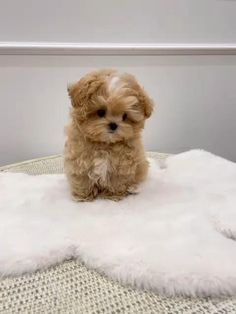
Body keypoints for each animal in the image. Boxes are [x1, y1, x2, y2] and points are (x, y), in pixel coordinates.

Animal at [63, 68, 154, 201]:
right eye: (101, 112)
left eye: (124, 116)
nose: (113, 125)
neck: (105, 144)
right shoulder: (79, 161)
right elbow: (83, 179)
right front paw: (84, 196)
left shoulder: (122, 166)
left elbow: (117, 181)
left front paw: (113, 195)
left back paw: (133, 188)